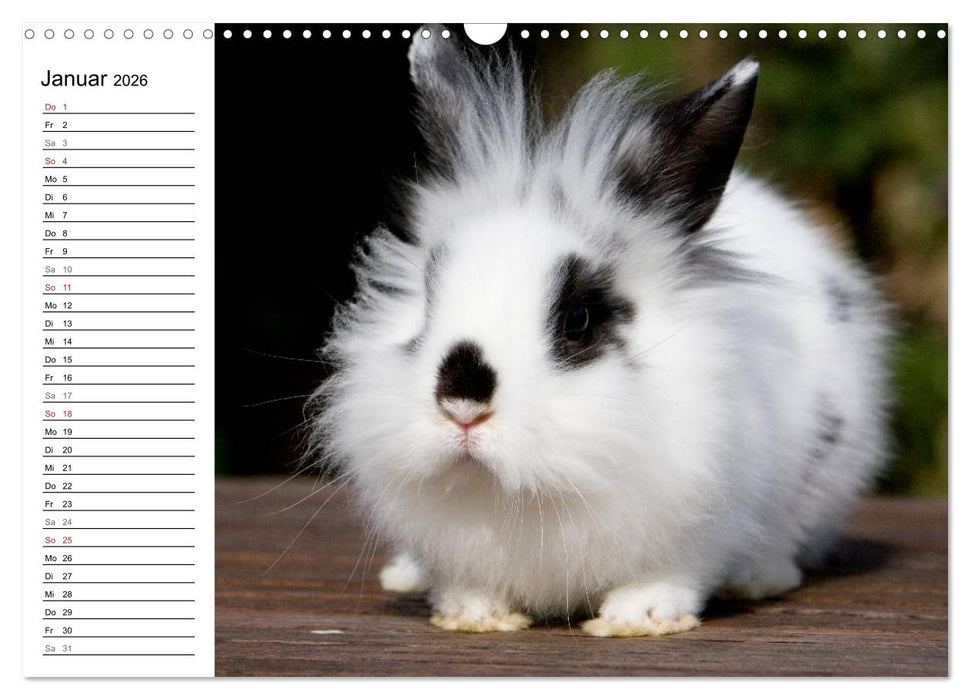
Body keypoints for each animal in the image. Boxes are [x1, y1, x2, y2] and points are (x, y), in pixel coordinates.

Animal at [309, 26, 893, 637]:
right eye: (428, 297)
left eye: (579, 319)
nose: (462, 406)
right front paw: (474, 612)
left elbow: (671, 574)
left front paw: (641, 616)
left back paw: (760, 575)